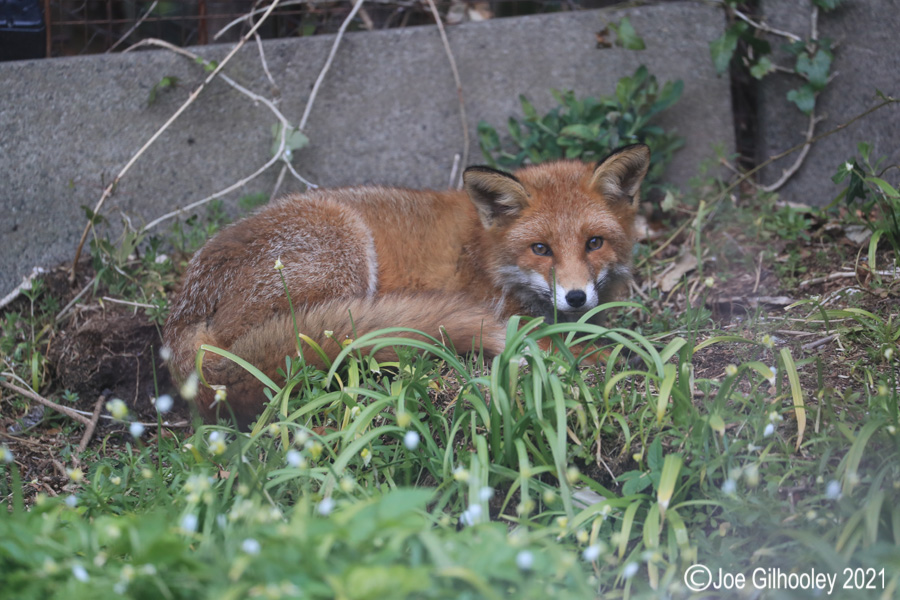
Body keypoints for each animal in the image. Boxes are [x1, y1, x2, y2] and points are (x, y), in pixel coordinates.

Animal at [163, 144, 650, 429]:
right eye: (541, 249)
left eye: (594, 243)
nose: (575, 297)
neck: (485, 253)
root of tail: (184, 319)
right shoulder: (507, 313)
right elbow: (560, 342)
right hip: (345, 257)